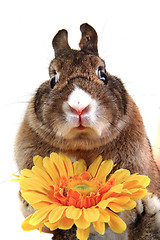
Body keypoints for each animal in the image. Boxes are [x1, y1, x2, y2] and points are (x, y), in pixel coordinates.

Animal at [14, 23, 160, 240]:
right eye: (53, 79)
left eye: (103, 74)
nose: (79, 106)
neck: (81, 143)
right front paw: (29, 203)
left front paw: (133, 204)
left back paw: (145, 210)